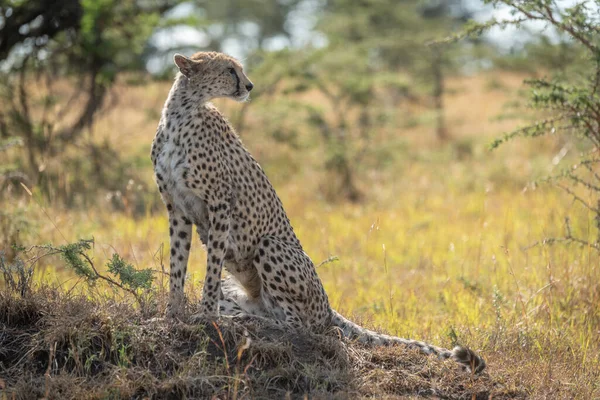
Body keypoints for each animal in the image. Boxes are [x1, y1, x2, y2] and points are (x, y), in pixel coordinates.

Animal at [152, 51, 486, 374]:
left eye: (238, 68)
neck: (181, 114)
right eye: (229, 69)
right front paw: (172, 316)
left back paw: (252, 322)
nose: (249, 86)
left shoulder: (221, 203)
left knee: (298, 326)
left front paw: (206, 316)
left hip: (271, 246)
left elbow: (210, 270)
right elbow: (178, 266)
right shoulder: (176, 207)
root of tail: (327, 307)